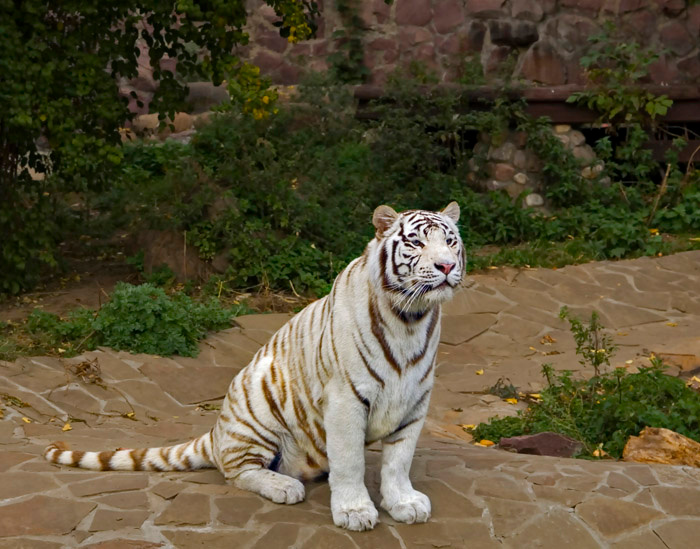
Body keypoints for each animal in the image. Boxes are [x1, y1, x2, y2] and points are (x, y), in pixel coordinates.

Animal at [44, 202, 465, 531]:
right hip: (259, 406)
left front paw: (404, 503)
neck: (410, 318)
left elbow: (398, 461)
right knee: (237, 471)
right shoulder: (346, 399)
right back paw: (285, 487)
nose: (446, 266)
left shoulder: (414, 401)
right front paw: (355, 511)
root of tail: (216, 432)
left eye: (450, 242)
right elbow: (349, 461)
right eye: (416, 242)